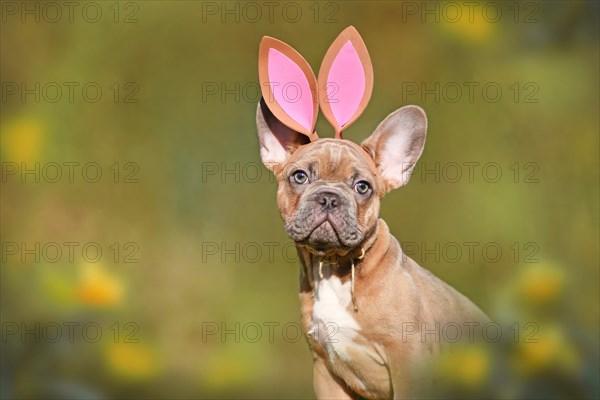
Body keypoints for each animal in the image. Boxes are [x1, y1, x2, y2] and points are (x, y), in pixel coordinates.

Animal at [255, 26, 490, 398]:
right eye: (300, 177)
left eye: (362, 186)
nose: (328, 198)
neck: (334, 268)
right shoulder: (325, 370)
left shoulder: (409, 365)